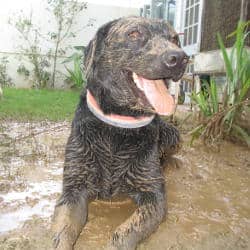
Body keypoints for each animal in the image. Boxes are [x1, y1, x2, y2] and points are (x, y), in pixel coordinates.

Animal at [51, 16, 188, 249]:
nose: (180, 58)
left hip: (173, 133)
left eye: (175, 39)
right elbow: (63, 233)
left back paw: (171, 162)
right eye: (134, 34)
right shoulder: (73, 190)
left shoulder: (154, 196)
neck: (119, 125)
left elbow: (123, 233)